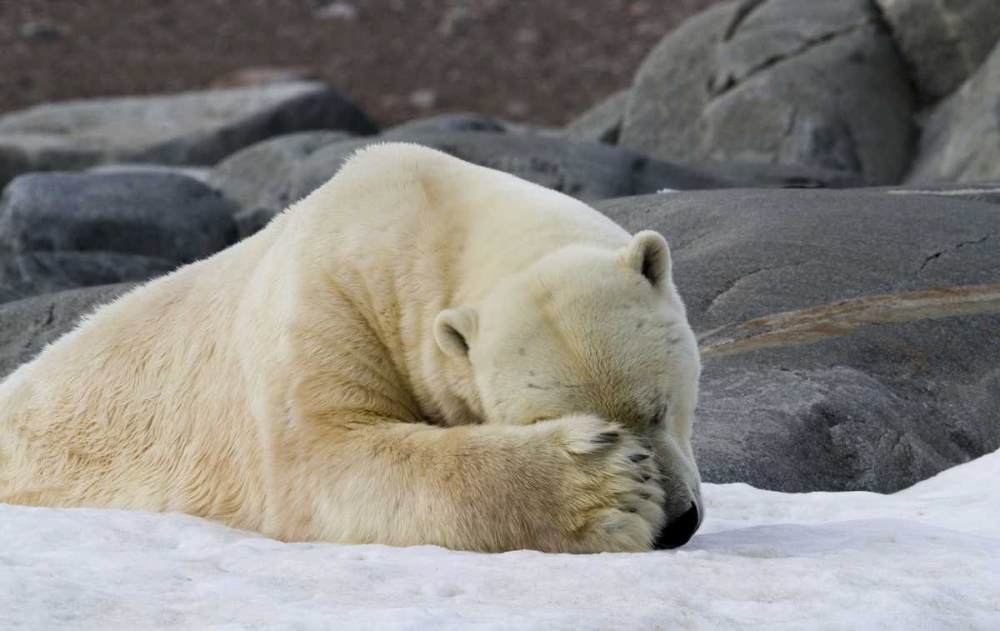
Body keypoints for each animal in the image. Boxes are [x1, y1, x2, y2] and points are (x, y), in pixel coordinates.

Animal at [0, 143, 703, 553]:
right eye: (553, 416)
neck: (426, 216)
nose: (679, 524)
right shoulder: (329, 299)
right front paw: (609, 488)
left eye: (663, 405)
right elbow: (328, 455)